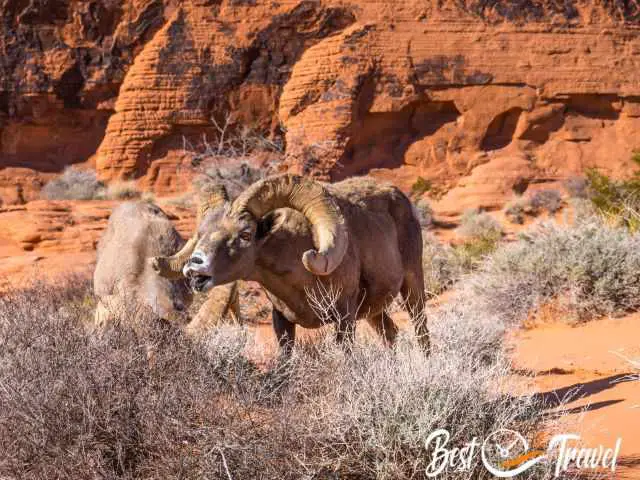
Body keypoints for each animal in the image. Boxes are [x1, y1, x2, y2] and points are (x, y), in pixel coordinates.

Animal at [152, 175, 428, 352]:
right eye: (201, 233)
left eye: (245, 234)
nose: (195, 269)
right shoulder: (282, 321)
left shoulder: (344, 319)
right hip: (374, 312)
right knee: (390, 334)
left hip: (413, 290)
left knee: (421, 332)